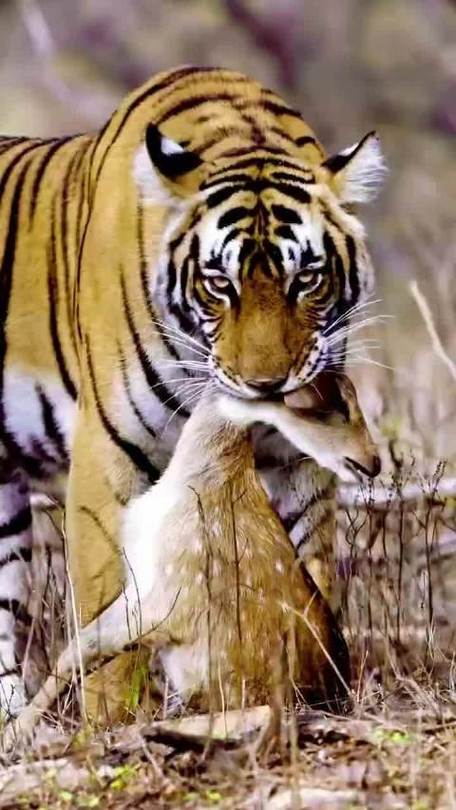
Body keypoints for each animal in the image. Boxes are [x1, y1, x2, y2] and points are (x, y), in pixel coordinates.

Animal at [0, 65, 385, 720]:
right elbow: (109, 613)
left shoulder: (298, 464)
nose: (265, 383)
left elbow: (305, 578)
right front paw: (110, 724)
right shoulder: (108, 457)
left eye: (305, 278)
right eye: (218, 283)